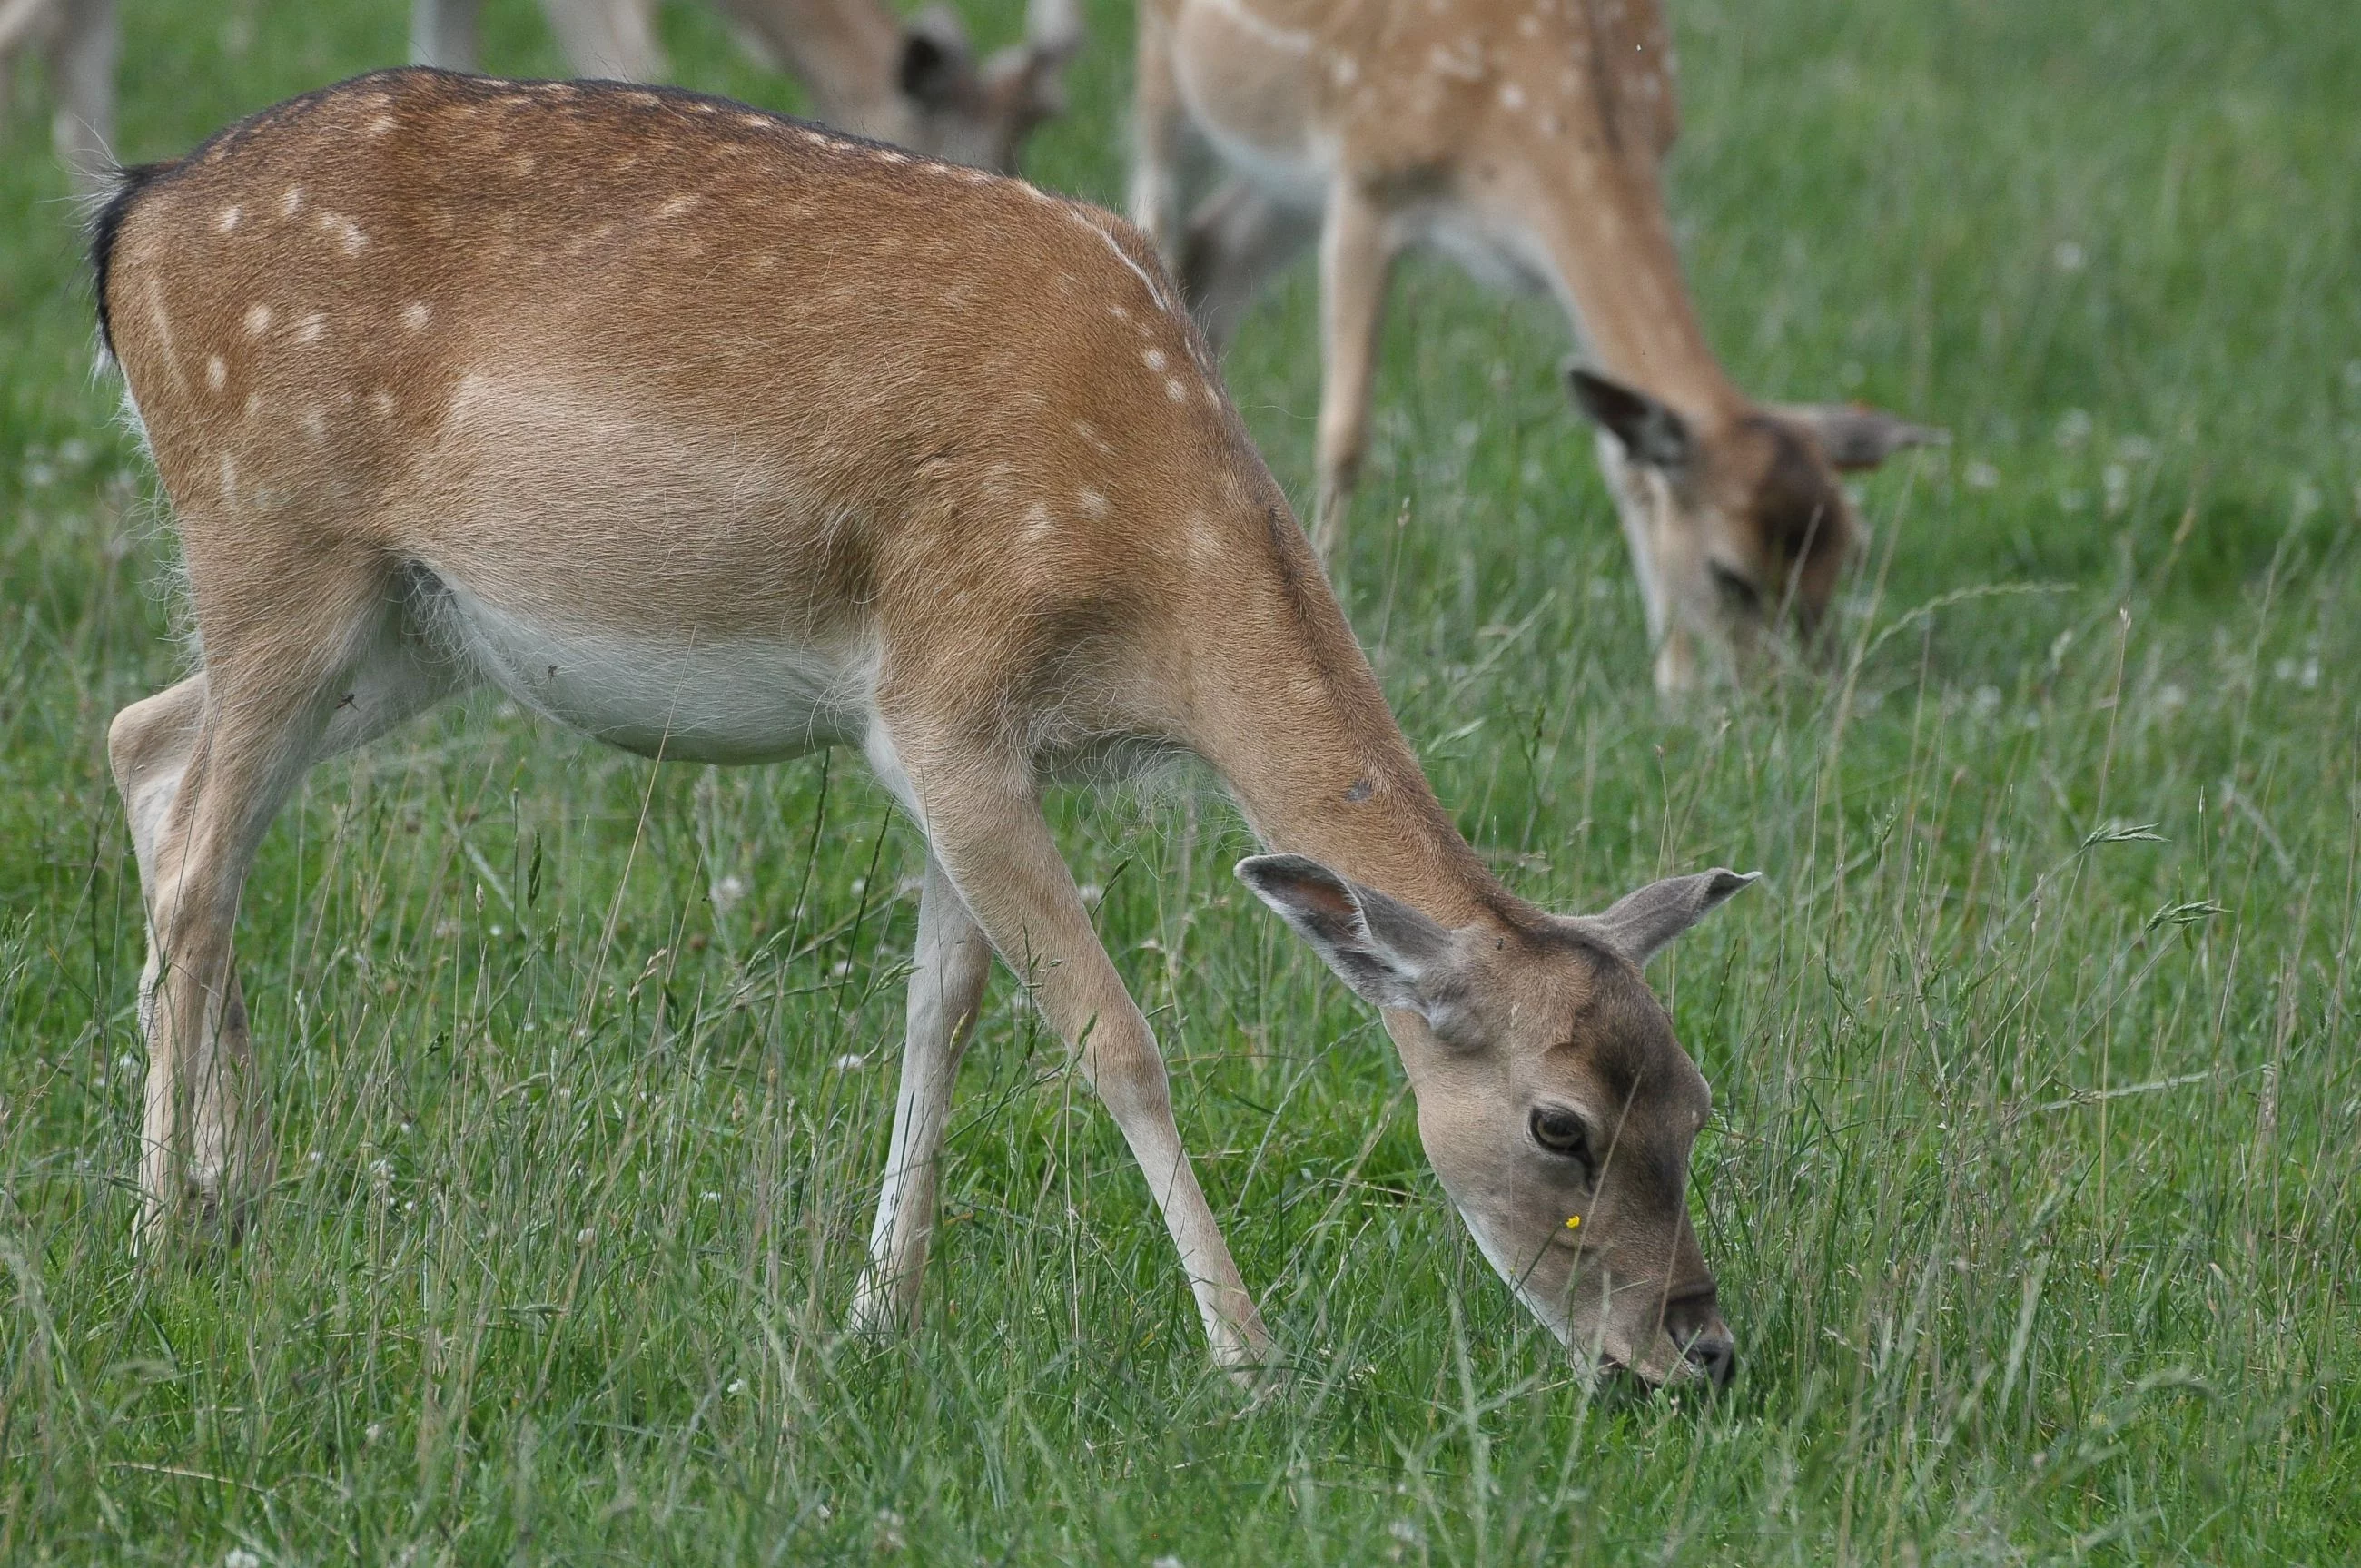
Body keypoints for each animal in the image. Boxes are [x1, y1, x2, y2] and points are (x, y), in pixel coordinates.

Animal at [92, 67, 1756, 1388]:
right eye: (1559, 1123)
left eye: (1693, 1096)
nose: (1702, 1346)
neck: (1152, 588)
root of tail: (129, 220)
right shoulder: (941, 703)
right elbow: (1111, 1033)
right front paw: (1249, 1351)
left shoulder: (981, 744)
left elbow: (939, 1007)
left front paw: (876, 1309)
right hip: (273, 540)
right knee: (197, 858)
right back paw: (165, 1231)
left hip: (409, 627)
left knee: (148, 745)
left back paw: (238, 1183)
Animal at [1133, 0, 1945, 694]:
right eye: (1730, 573)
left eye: (1850, 556)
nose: (1784, 699)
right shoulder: (1366, 179)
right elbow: (1345, 435)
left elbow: (1624, 458)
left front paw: (1675, 685)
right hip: (1171, 76)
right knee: (1156, 217)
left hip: (1280, 181)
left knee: (1213, 254)